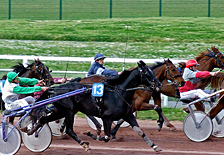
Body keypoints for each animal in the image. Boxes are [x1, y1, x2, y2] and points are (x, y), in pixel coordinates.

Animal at [25, 60, 164, 153]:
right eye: (147, 73)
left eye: (152, 71)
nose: (159, 84)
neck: (118, 92)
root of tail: (55, 89)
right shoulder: (107, 118)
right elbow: (106, 137)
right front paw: (92, 134)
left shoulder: (128, 114)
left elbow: (140, 131)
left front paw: (154, 145)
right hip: (69, 111)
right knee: (69, 130)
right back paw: (84, 144)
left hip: (60, 111)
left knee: (43, 119)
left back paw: (32, 132)